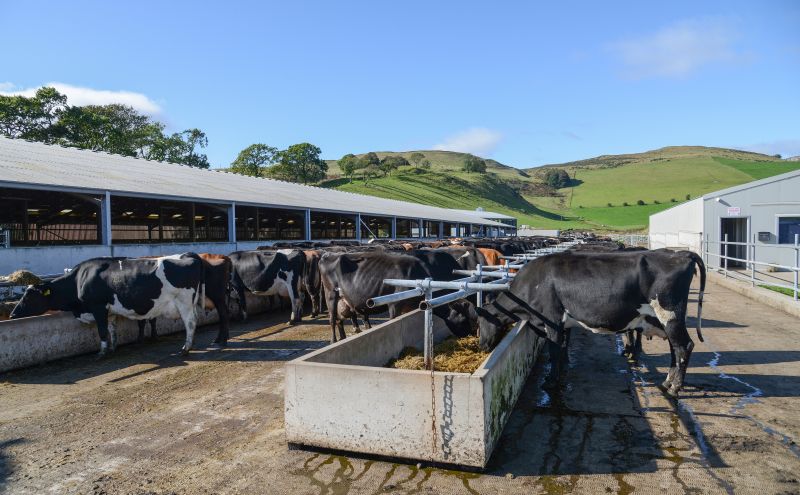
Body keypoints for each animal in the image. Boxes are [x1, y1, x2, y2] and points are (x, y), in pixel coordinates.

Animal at [11, 256, 206, 356]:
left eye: (29, 296)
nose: (12, 315)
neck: (80, 279)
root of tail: (190, 256)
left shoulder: (97, 307)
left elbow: (102, 330)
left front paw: (102, 351)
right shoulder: (109, 311)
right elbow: (112, 329)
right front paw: (113, 347)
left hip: (184, 301)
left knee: (190, 322)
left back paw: (186, 348)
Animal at [476, 250, 708, 398]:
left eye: (479, 324)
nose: (482, 346)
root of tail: (680, 254)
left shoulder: (551, 319)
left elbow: (554, 350)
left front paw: (550, 381)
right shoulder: (564, 323)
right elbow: (562, 347)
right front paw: (562, 370)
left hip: (669, 314)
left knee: (684, 346)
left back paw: (675, 388)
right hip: (667, 319)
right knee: (674, 347)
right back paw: (667, 382)